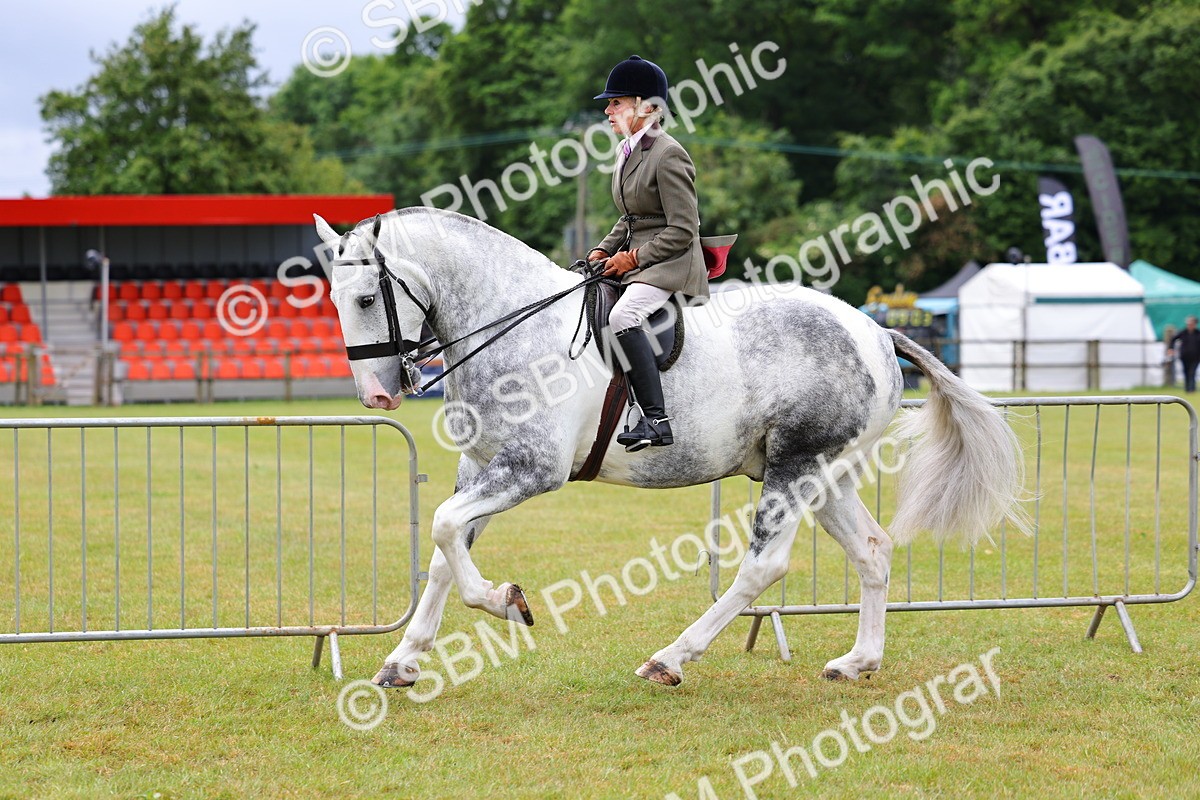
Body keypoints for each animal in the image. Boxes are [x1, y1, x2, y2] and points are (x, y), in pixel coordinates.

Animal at [312, 207, 1025, 688]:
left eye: (368, 297)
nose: (377, 397)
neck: (514, 325)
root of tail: (876, 331)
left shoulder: (529, 470)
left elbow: (441, 527)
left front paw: (505, 601)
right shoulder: (482, 466)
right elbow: (444, 548)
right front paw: (403, 661)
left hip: (794, 470)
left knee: (763, 567)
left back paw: (670, 658)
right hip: (825, 475)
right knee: (872, 550)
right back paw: (857, 661)